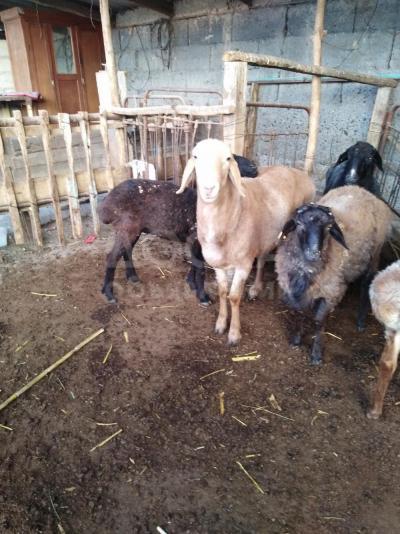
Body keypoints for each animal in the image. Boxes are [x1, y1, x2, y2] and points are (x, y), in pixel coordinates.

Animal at [99, 154, 257, 305]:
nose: (254, 167)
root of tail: (106, 204)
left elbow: (195, 263)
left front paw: (191, 283)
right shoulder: (195, 238)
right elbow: (200, 268)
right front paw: (203, 297)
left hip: (132, 229)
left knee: (127, 251)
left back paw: (132, 277)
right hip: (127, 227)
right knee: (112, 257)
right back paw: (109, 294)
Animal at [176, 138, 316, 345]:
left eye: (228, 158)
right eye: (195, 156)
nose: (209, 189)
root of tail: (297, 171)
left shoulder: (243, 264)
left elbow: (234, 297)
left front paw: (234, 333)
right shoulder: (219, 264)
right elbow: (222, 292)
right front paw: (220, 324)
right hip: (265, 235)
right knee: (262, 259)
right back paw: (256, 289)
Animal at [275, 185, 393, 365]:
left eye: (329, 228)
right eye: (299, 224)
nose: (314, 253)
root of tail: (361, 189)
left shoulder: (329, 293)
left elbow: (319, 321)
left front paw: (316, 354)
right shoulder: (294, 290)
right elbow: (299, 313)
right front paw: (296, 340)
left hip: (375, 254)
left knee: (366, 284)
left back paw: (360, 321)